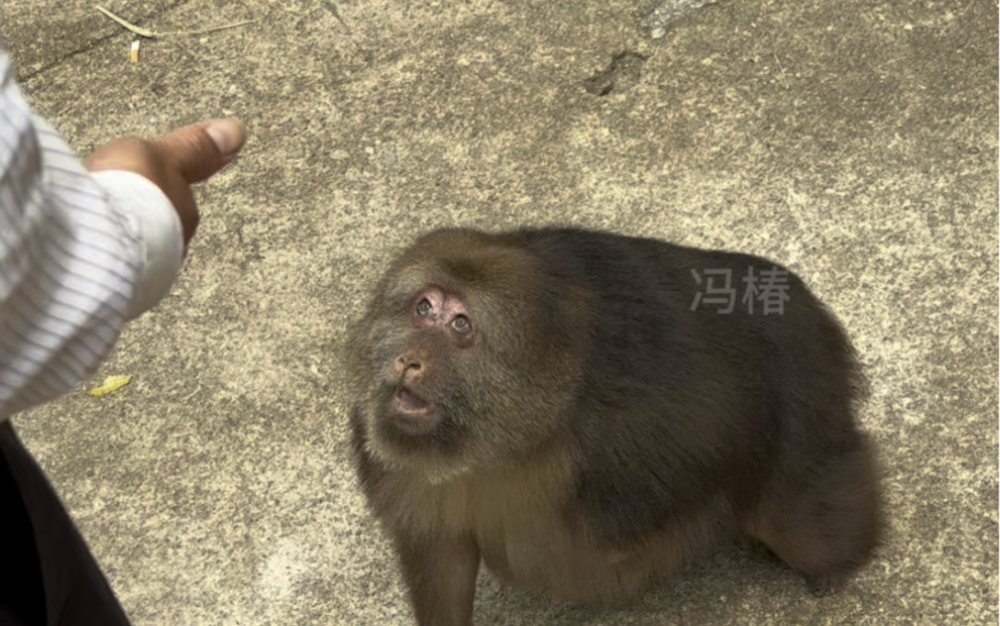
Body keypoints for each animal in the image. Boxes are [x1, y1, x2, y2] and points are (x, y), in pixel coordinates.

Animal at [348, 227, 880, 620]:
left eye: (460, 324)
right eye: (423, 308)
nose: (407, 360)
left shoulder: (628, 436)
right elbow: (443, 557)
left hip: (807, 402)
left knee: (801, 523)